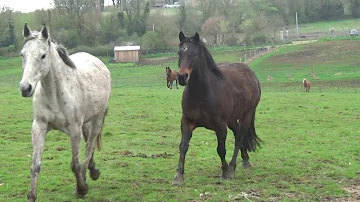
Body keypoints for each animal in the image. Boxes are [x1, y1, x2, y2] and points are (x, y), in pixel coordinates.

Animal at [19, 23, 109, 200]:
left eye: (43, 56)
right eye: (22, 54)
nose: (25, 88)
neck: (55, 94)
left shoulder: (74, 129)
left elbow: (75, 164)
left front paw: (81, 189)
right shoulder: (39, 126)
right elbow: (35, 165)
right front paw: (31, 196)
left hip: (97, 119)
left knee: (89, 147)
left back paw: (86, 179)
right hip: (85, 122)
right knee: (88, 142)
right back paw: (93, 171)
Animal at [172, 31, 260, 185]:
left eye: (195, 54)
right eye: (179, 53)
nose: (182, 76)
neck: (201, 94)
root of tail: (251, 74)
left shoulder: (220, 125)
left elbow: (221, 149)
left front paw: (225, 173)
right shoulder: (187, 122)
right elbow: (183, 146)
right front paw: (179, 176)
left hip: (247, 115)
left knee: (239, 138)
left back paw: (232, 168)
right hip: (232, 120)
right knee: (238, 133)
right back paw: (245, 161)